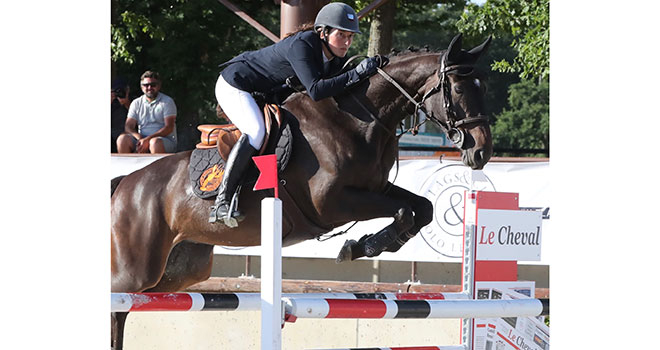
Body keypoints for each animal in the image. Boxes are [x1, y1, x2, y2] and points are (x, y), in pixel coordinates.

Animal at [109, 33, 490, 350]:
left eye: (481, 88)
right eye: (458, 90)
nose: (481, 152)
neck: (359, 119)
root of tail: (125, 184)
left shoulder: (377, 188)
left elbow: (421, 208)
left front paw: (372, 244)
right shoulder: (332, 204)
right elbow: (404, 211)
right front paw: (360, 247)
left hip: (180, 270)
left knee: (127, 307)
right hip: (136, 268)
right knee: (117, 300)